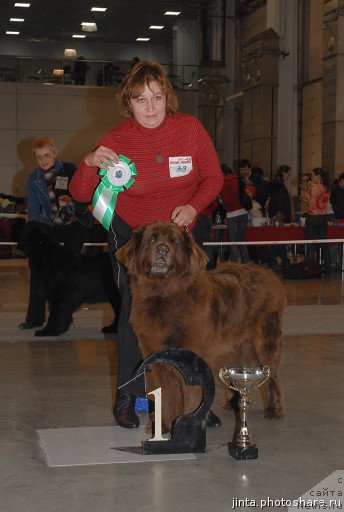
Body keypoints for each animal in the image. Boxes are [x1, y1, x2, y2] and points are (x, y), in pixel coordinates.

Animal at [117, 221, 286, 432]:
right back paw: (232, 404)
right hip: (232, 346)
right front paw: (163, 426)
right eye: (152, 240)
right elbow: (167, 394)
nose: (162, 249)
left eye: (174, 243)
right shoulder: (158, 358)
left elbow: (190, 396)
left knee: (272, 376)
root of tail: (267, 272)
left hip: (266, 339)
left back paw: (273, 410)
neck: (163, 295)